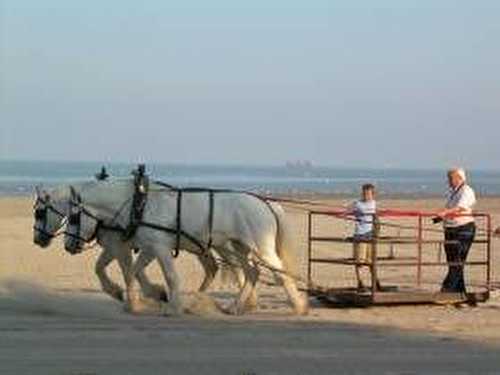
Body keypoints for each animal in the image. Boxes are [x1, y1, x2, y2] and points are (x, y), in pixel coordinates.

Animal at [32, 184, 218, 304]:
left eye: (39, 213)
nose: (36, 239)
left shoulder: (120, 246)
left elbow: (127, 271)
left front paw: (134, 298)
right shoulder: (114, 246)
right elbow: (101, 267)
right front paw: (122, 291)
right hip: (200, 249)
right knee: (212, 268)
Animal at [64, 178, 308, 316]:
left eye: (74, 217)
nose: (67, 246)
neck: (141, 205)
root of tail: (266, 203)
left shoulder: (160, 247)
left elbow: (170, 276)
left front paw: (173, 307)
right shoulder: (150, 247)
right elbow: (133, 272)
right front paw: (151, 294)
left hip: (260, 248)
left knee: (280, 273)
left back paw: (299, 307)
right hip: (238, 247)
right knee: (252, 272)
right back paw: (235, 307)